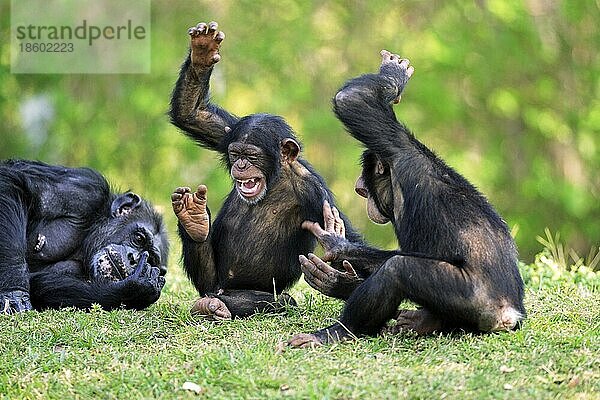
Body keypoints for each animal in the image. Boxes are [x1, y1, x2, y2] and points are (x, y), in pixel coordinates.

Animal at [0, 159, 169, 312]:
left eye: (151, 260)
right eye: (139, 238)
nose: (133, 258)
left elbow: (44, 284)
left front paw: (136, 289)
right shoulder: (84, 189)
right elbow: (12, 183)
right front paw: (13, 294)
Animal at [170, 21, 366, 318]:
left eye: (252, 156)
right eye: (235, 154)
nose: (241, 165)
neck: (275, 180)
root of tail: (223, 289)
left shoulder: (313, 191)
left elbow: (347, 235)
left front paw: (343, 280)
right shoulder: (227, 130)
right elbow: (193, 114)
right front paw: (202, 52)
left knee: (277, 301)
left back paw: (217, 306)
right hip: (213, 282)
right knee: (208, 280)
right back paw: (194, 220)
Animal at [288, 50, 528, 346]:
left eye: (364, 184)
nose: (358, 186)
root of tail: (510, 315)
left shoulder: (399, 152)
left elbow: (356, 101)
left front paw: (392, 76)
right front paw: (343, 269)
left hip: (476, 300)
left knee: (396, 270)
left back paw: (336, 332)